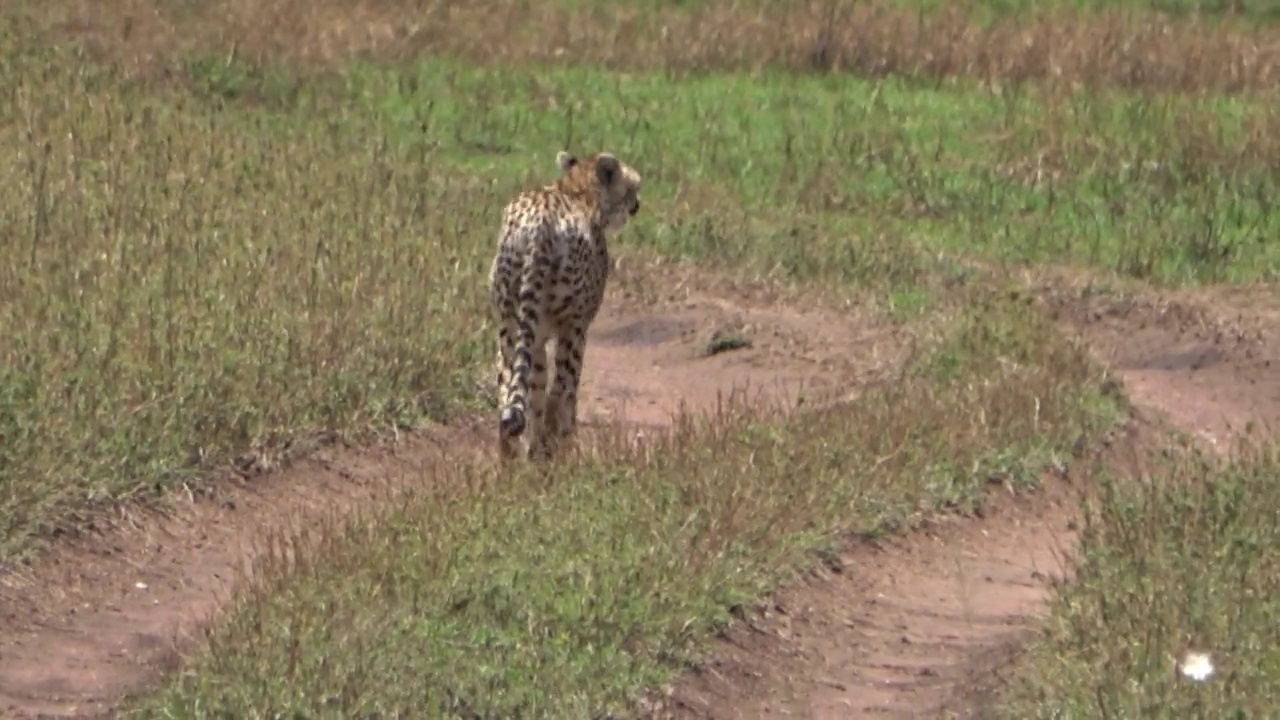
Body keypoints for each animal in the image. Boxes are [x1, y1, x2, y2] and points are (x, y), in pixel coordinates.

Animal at [491, 151, 650, 458]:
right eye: (632, 187)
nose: (637, 204)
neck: (575, 191)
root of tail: (539, 227)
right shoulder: (579, 325)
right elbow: (563, 388)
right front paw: (554, 445)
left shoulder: (537, 336)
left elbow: (535, 387)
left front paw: (535, 450)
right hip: (571, 326)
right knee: (562, 386)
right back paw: (558, 443)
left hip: (509, 321)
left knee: (507, 389)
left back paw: (509, 457)